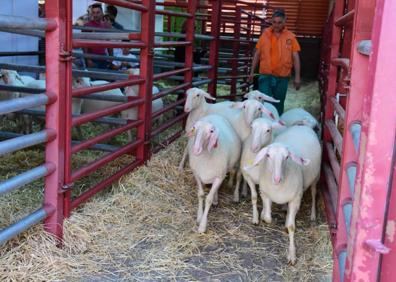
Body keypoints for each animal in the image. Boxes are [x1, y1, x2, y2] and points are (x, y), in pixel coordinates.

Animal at [251, 125, 322, 264]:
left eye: (287, 157)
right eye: (268, 155)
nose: (277, 179)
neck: (278, 187)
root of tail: (302, 126)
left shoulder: (295, 199)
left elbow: (291, 227)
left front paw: (292, 255)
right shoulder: (265, 194)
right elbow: (268, 217)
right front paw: (263, 216)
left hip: (316, 178)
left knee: (313, 193)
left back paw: (312, 215)